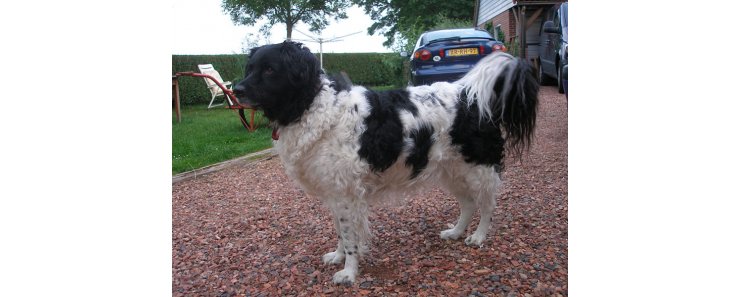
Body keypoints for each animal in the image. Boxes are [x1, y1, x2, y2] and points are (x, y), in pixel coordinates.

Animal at [236, 41, 536, 282]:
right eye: (249, 68)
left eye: (270, 70)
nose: (236, 89)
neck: (310, 105)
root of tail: (469, 95)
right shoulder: (335, 192)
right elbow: (340, 232)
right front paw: (338, 256)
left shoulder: (346, 194)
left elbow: (350, 236)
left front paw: (349, 272)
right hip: (452, 171)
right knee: (469, 203)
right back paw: (455, 232)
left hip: (479, 169)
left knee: (487, 205)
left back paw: (479, 237)